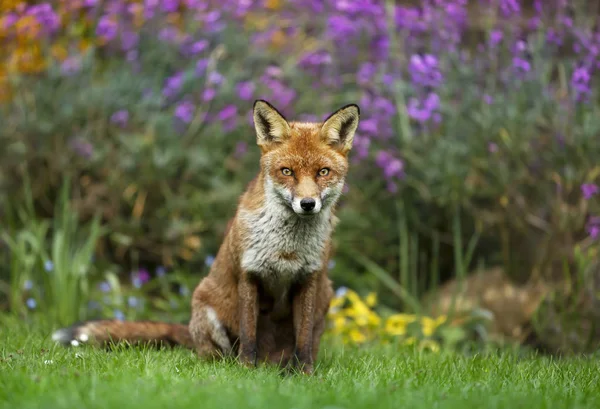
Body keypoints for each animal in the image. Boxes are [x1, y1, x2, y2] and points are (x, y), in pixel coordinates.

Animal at [51, 99, 358, 372]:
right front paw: (247, 372)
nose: (307, 204)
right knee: (217, 355)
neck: (287, 249)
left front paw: (305, 375)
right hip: (207, 309)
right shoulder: (249, 275)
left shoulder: (308, 278)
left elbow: (303, 342)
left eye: (323, 172)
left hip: (324, 299)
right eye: (287, 171)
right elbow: (249, 337)